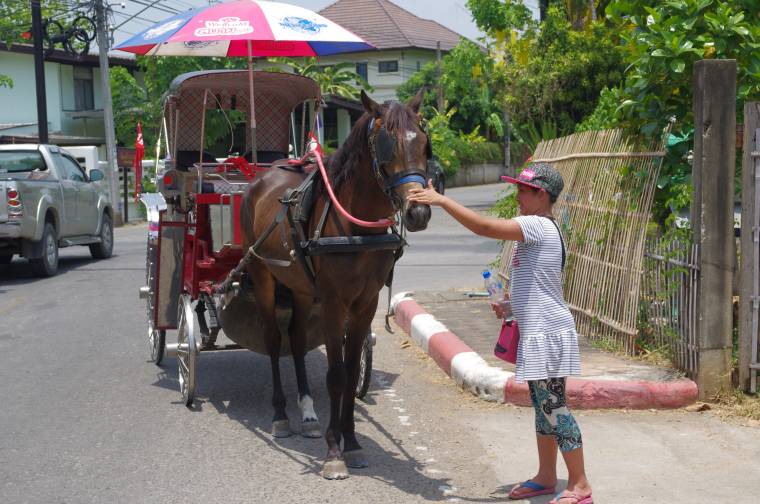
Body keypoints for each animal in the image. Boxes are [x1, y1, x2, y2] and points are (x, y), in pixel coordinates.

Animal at [240, 88, 430, 478]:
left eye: (423, 142)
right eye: (386, 146)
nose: (418, 212)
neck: (356, 229)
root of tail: (260, 179)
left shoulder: (365, 303)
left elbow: (353, 365)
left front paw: (352, 442)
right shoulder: (332, 302)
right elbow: (337, 374)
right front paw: (333, 451)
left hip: (299, 286)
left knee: (296, 339)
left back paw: (308, 413)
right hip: (263, 274)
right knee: (273, 339)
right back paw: (281, 415)